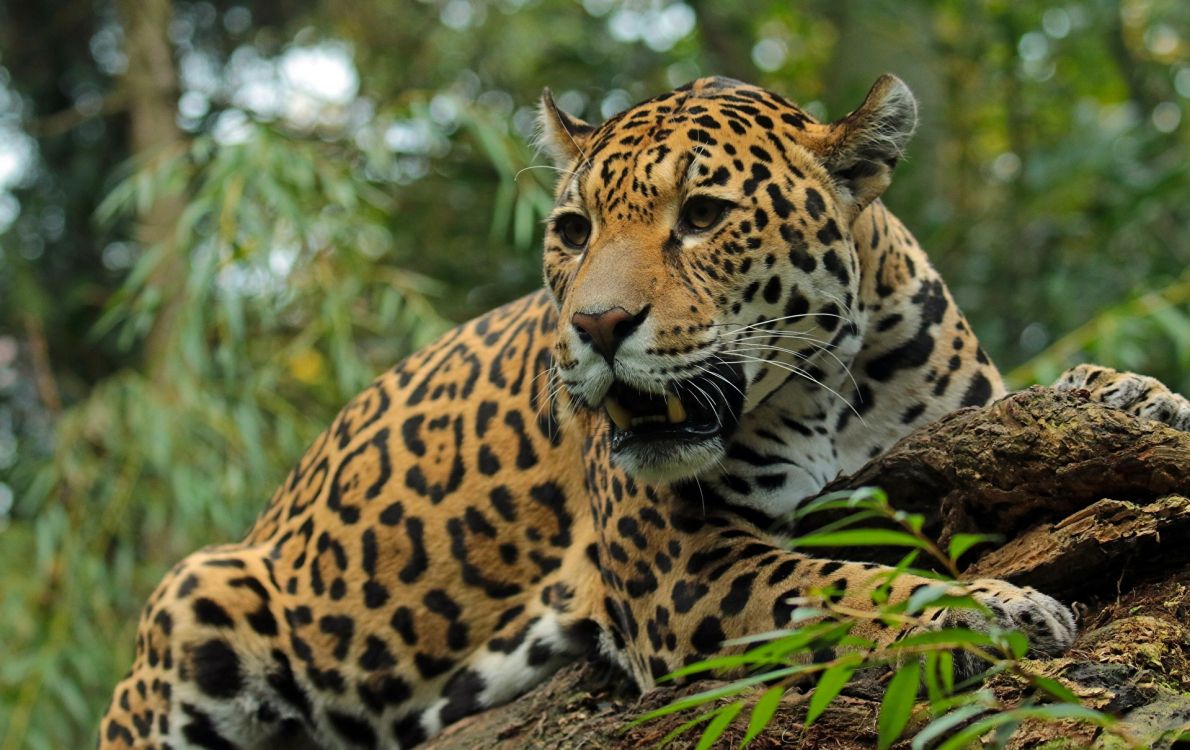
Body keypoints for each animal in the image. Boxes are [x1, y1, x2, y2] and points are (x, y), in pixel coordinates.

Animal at [98, 75, 1190, 749]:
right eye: (572, 230)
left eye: (701, 217)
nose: (596, 325)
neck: (836, 389)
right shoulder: (678, 565)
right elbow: (837, 587)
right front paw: (989, 609)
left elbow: (1060, 398)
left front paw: (1143, 398)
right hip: (199, 596)